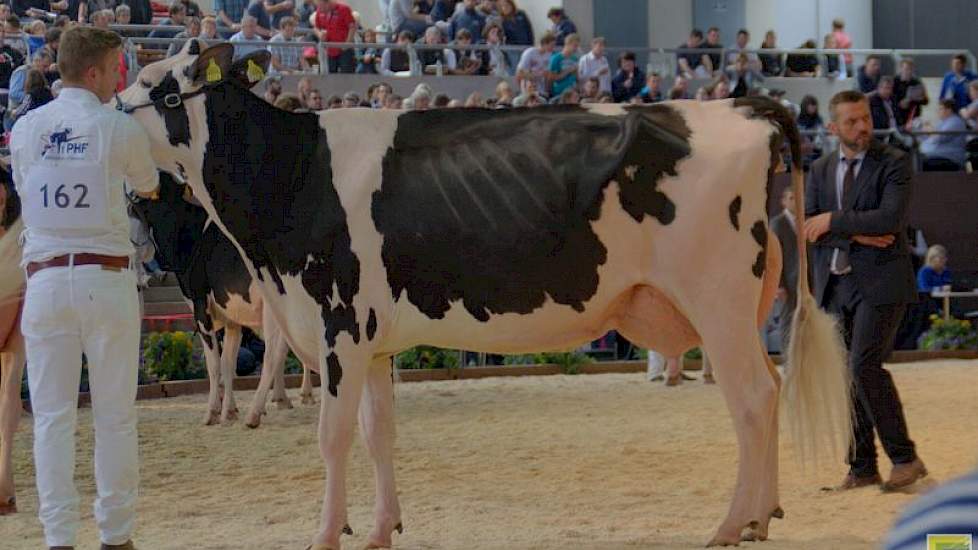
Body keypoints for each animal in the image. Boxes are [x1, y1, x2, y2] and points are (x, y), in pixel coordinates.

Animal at [130, 172, 316, 426]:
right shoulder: (231, 319)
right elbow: (228, 364)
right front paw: (230, 411)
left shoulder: (200, 308)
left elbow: (214, 364)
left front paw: (212, 412)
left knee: (273, 354)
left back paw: (256, 412)